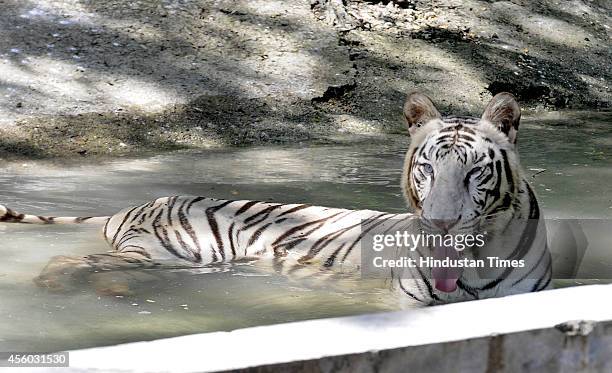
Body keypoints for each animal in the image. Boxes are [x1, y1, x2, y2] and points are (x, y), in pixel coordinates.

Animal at [0, 92, 552, 306]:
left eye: (475, 171)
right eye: (427, 168)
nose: (440, 225)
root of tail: (132, 204)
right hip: (176, 251)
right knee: (76, 258)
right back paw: (55, 283)